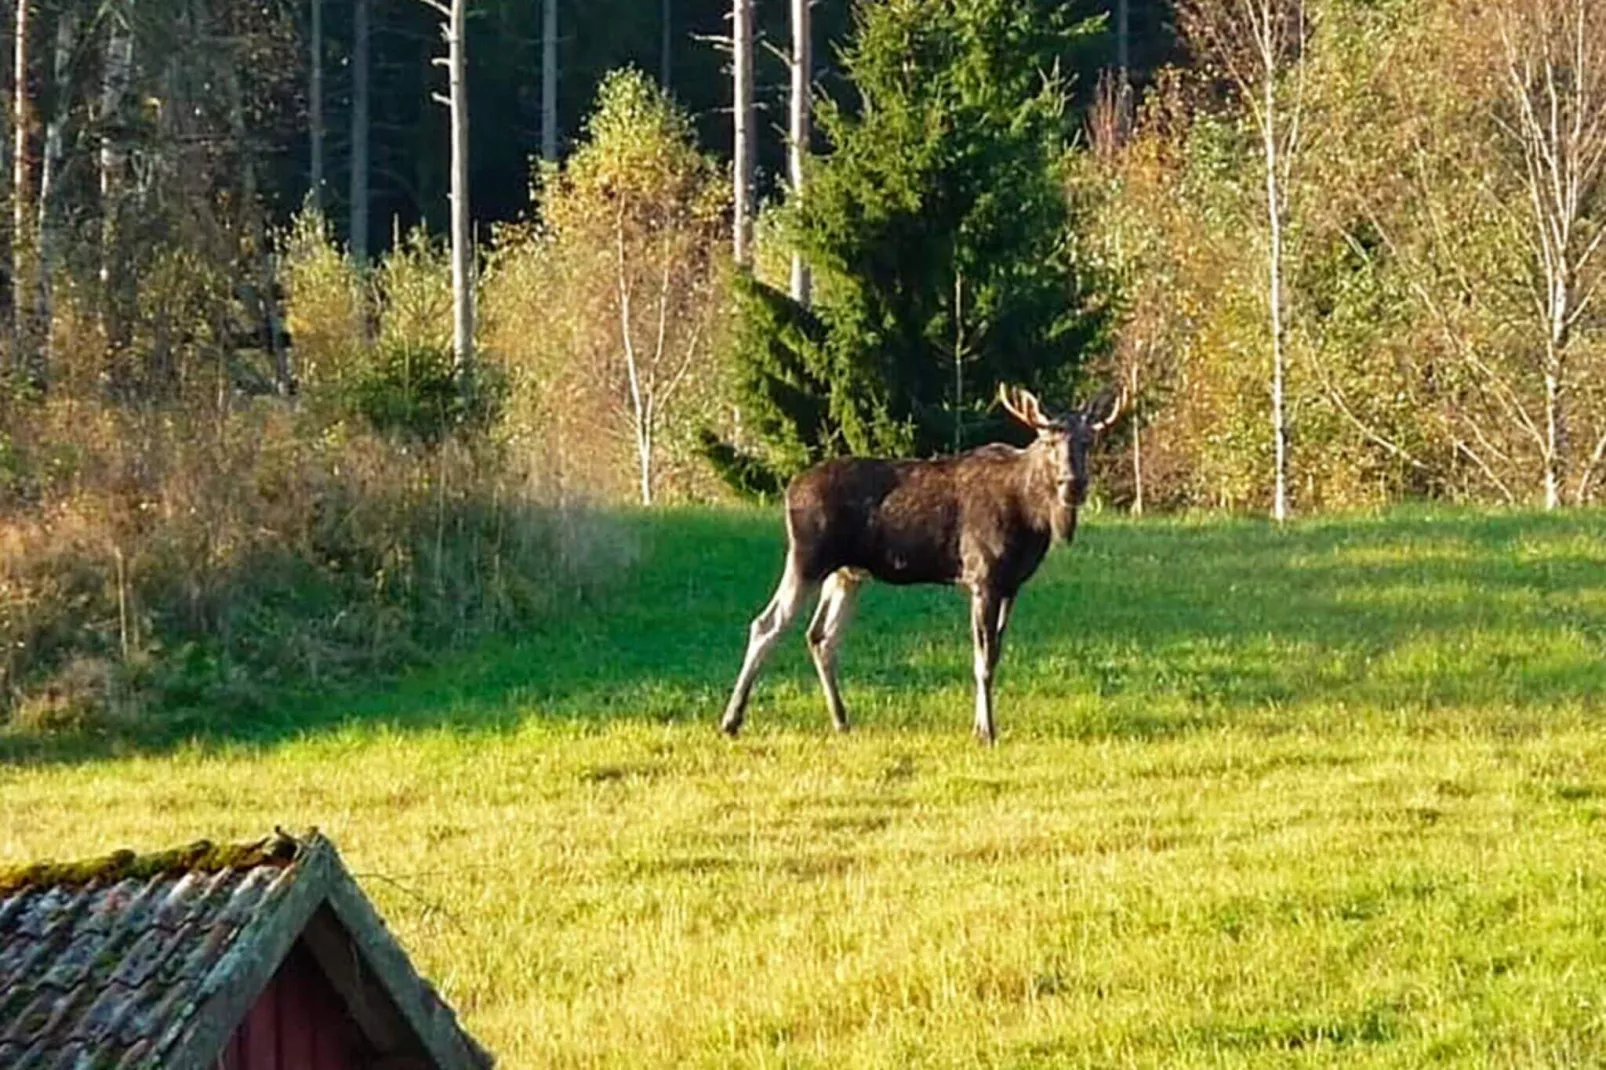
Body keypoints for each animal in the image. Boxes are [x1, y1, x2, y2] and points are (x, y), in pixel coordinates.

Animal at [722, 383, 1124, 742]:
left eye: (1088, 442)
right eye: (1050, 442)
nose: (1074, 483)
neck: (1032, 518)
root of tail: (790, 488)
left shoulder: (1011, 584)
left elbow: (993, 656)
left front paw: (980, 726)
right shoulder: (982, 577)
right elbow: (982, 661)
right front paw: (986, 732)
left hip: (847, 573)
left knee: (821, 635)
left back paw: (841, 720)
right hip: (808, 557)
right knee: (767, 623)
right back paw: (731, 721)